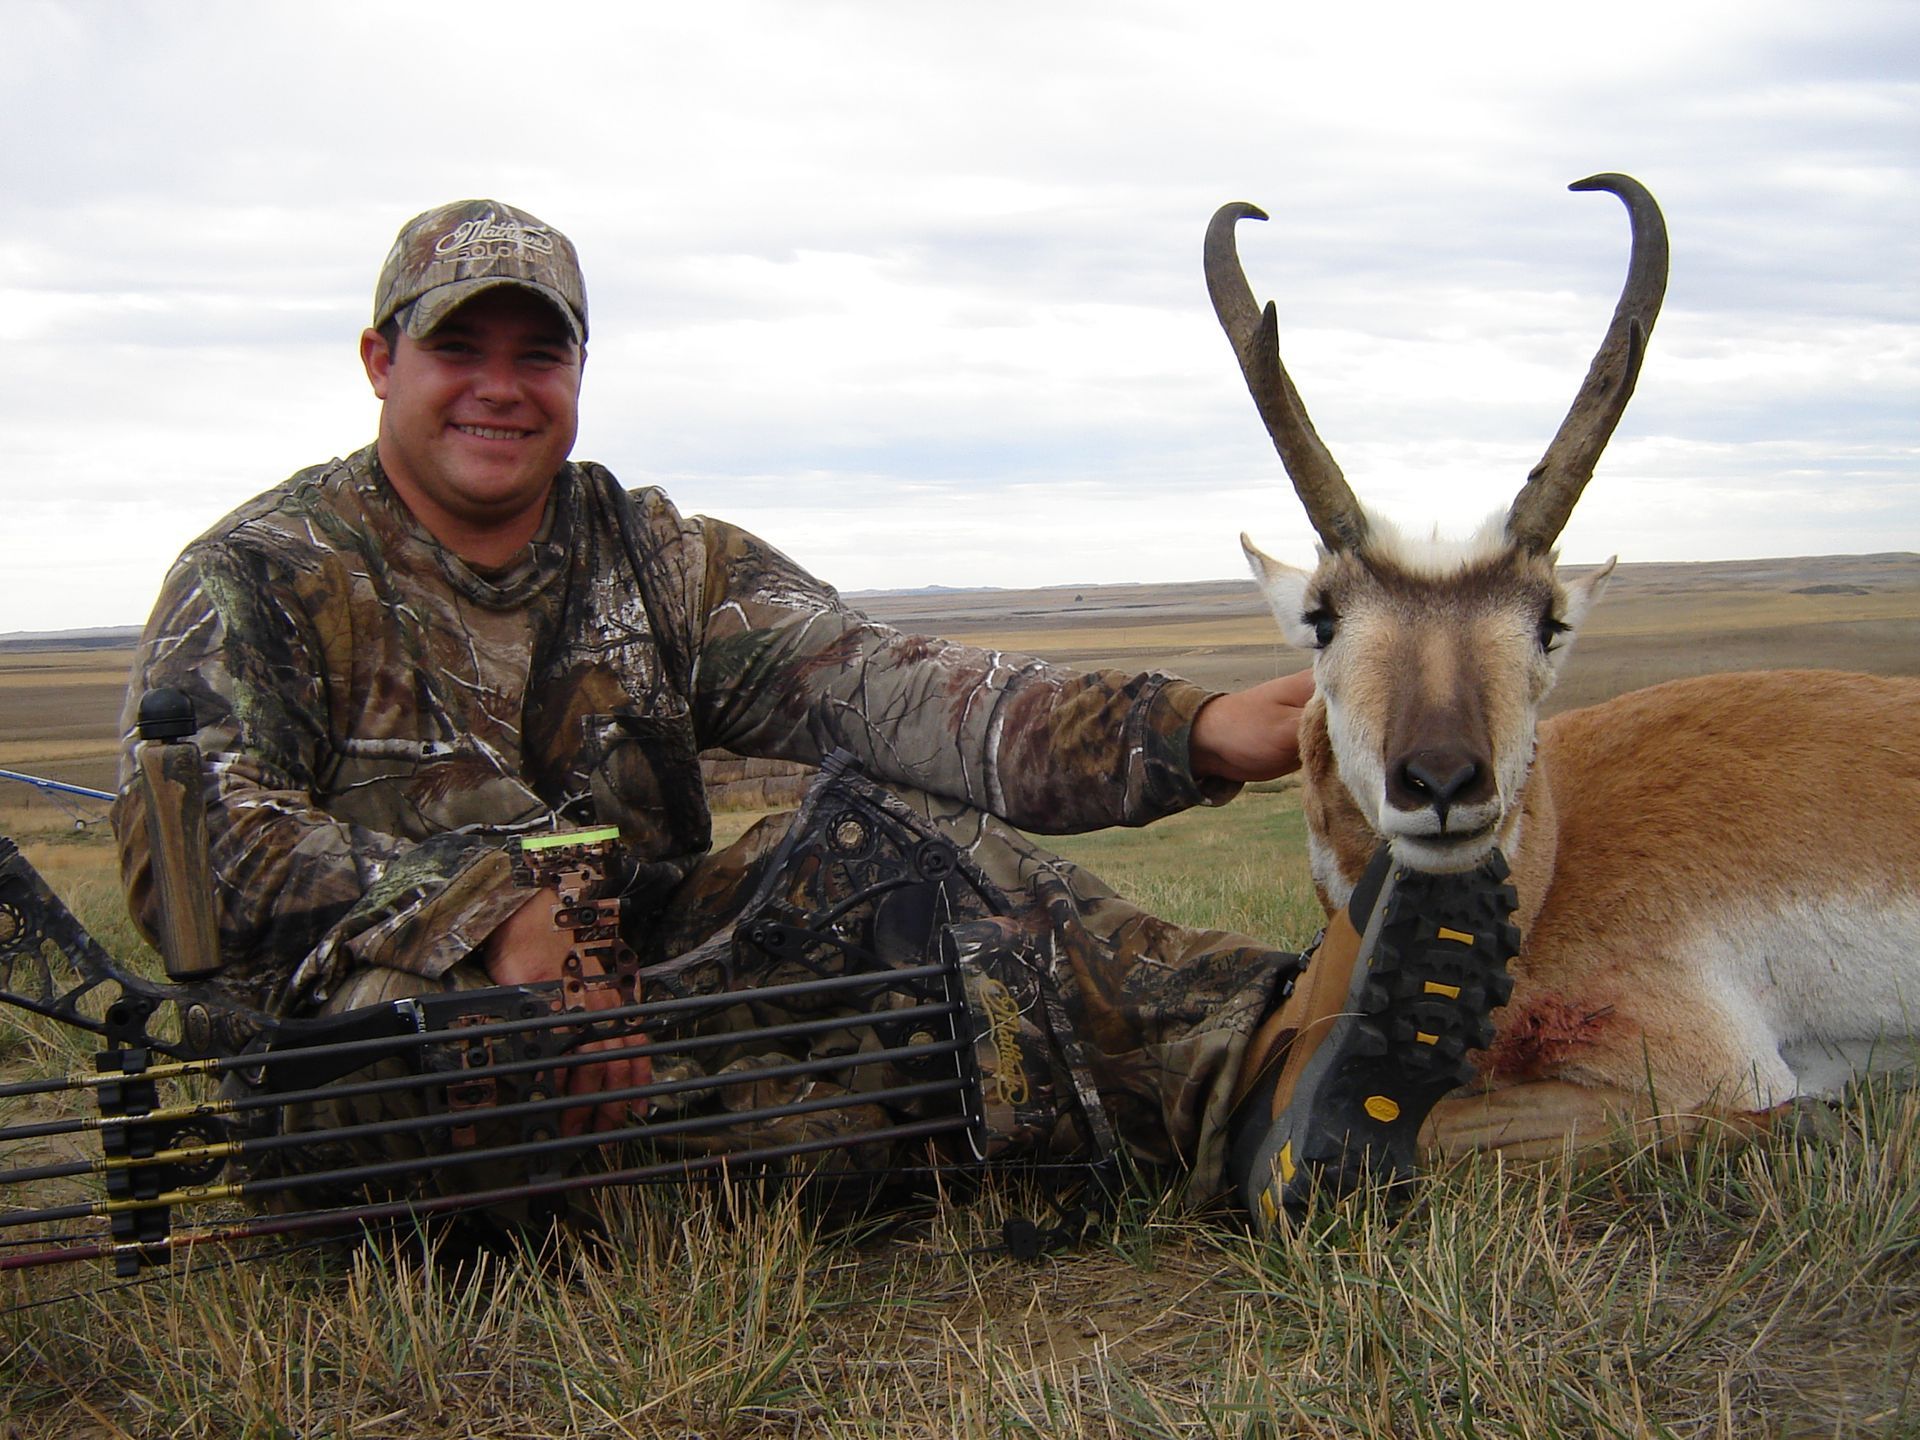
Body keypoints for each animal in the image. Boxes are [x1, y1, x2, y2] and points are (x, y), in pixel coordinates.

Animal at [1213, 176, 1920, 1157]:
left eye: (1549, 624)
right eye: (1321, 618)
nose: (1443, 783)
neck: (1558, 858)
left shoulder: (1710, 1065)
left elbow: (1430, 1128)